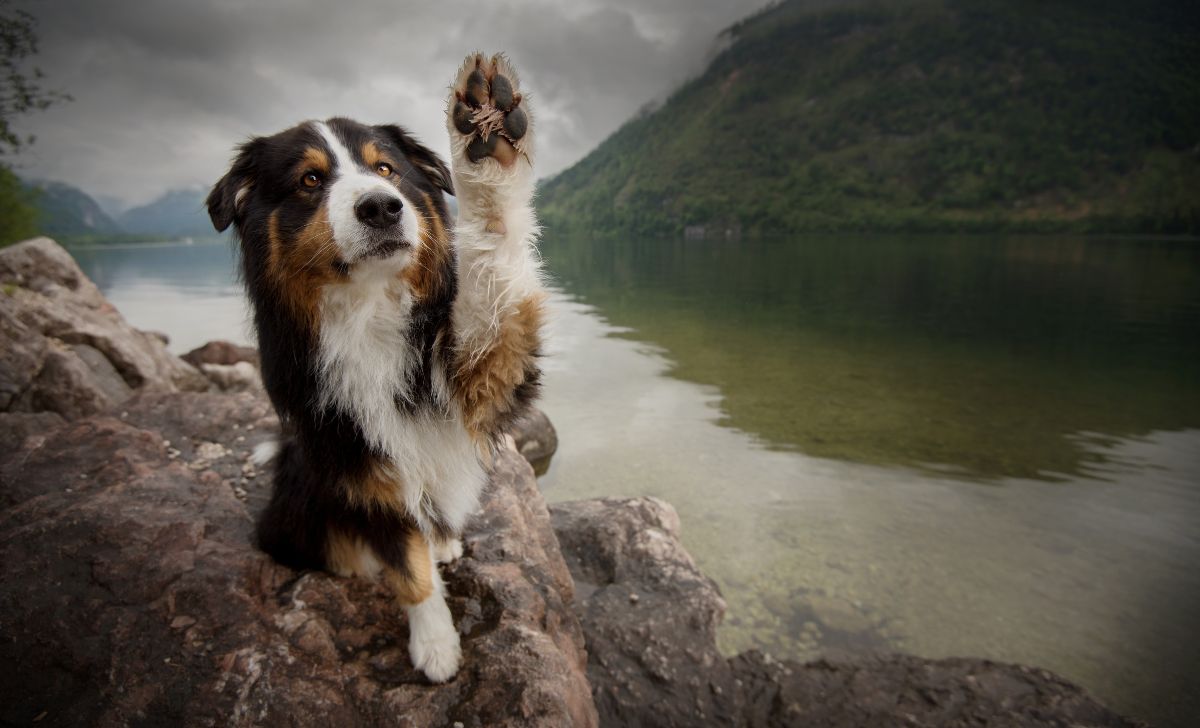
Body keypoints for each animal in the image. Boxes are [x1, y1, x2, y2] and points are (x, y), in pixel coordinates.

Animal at [206, 55, 544, 681]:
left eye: (385, 169)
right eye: (310, 180)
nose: (383, 206)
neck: (369, 307)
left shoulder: (480, 368)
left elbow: (494, 264)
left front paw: (486, 139)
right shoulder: (361, 465)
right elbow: (407, 569)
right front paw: (436, 647)